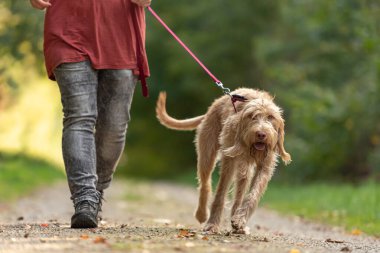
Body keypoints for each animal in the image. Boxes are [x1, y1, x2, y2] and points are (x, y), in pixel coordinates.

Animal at [154, 88, 290, 234]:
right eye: (252, 116)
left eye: (270, 117)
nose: (261, 134)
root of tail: (215, 103)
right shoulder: (229, 161)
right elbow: (220, 192)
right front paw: (212, 224)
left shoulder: (265, 166)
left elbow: (253, 195)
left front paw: (240, 220)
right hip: (207, 154)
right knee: (205, 184)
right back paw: (202, 214)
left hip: (243, 169)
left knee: (239, 193)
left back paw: (237, 221)